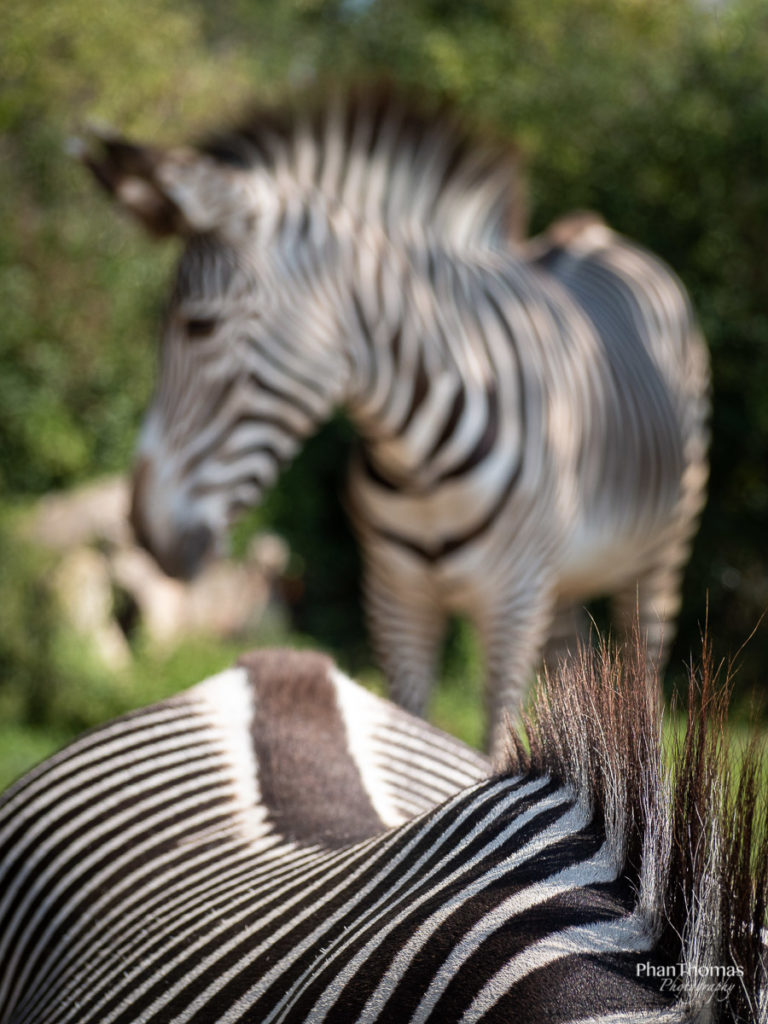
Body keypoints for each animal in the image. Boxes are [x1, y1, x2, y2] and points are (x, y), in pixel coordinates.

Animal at [81, 88, 712, 753]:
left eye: (200, 325)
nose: (142, 527)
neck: (419, 461)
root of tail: (598, 232)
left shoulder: (511, 603)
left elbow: (491, 748)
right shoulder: (395, 599)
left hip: (660, 553)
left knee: (644, 669)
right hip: (562, 584)